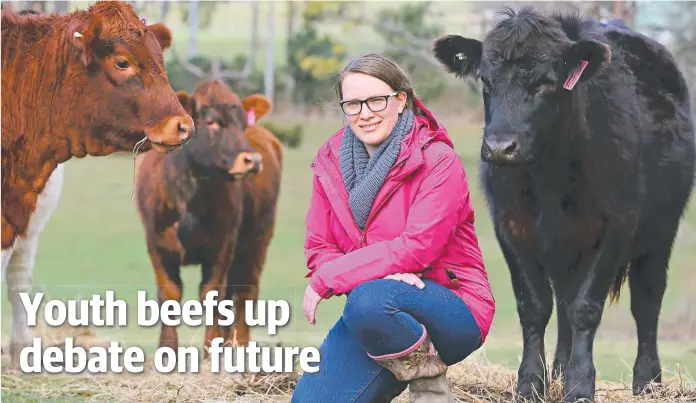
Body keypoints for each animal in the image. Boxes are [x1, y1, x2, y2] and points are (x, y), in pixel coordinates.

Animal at [135, 80, 282, 356]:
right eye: (213, 122)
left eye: (243, 124)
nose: (252, 160)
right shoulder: (155, 244)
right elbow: (169, 296)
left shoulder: (222, 246)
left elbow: (213, 295)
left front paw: (209, 354)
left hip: (258, 241)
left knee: (244, 295)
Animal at [432, 6, 692, 403]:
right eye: (486, 82)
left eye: (547, 82)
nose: (500, 147)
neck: (549, 180)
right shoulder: (511, 228)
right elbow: (534, 307)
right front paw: (532, 383)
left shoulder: (615, 226)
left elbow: (586, 309)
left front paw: (581, 385)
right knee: (566, 305)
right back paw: (558, 371)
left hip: (660, 232)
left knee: (646, 302)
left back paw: (648, 382)